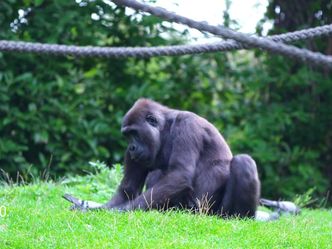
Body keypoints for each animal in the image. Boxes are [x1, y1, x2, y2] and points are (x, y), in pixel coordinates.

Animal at [63, 99, 260, 218]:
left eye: (134, 133)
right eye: (127, 136)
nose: (131, 147)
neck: (166, 128)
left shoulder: (188, 125)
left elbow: (179, 174)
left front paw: (119, 211)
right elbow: (127, 189)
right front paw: (96, 209)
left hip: (211, 213)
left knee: (243, 162)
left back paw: (239, 217)